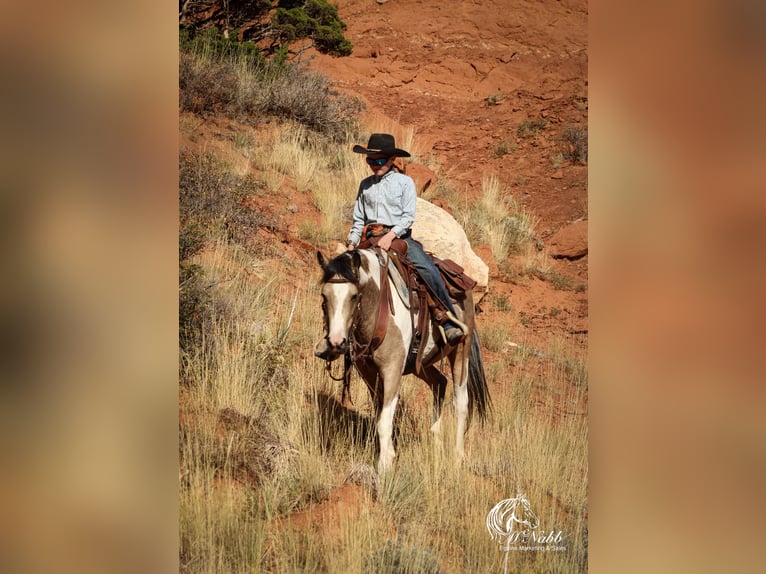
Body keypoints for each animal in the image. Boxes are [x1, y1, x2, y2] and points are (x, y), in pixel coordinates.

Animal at [316, 250, 492, 474]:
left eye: (354, 296)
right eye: (324, 295)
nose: (337, 342)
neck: (378, 307)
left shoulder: (392, 369)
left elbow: (384, 421)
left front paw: (384, 466)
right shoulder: (369, 372)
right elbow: (381, 415)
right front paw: (389, 454)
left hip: (461, 351)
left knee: (461, 402)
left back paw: (458, 456)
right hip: (421, 364)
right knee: (439, 383)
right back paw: (435, 440)